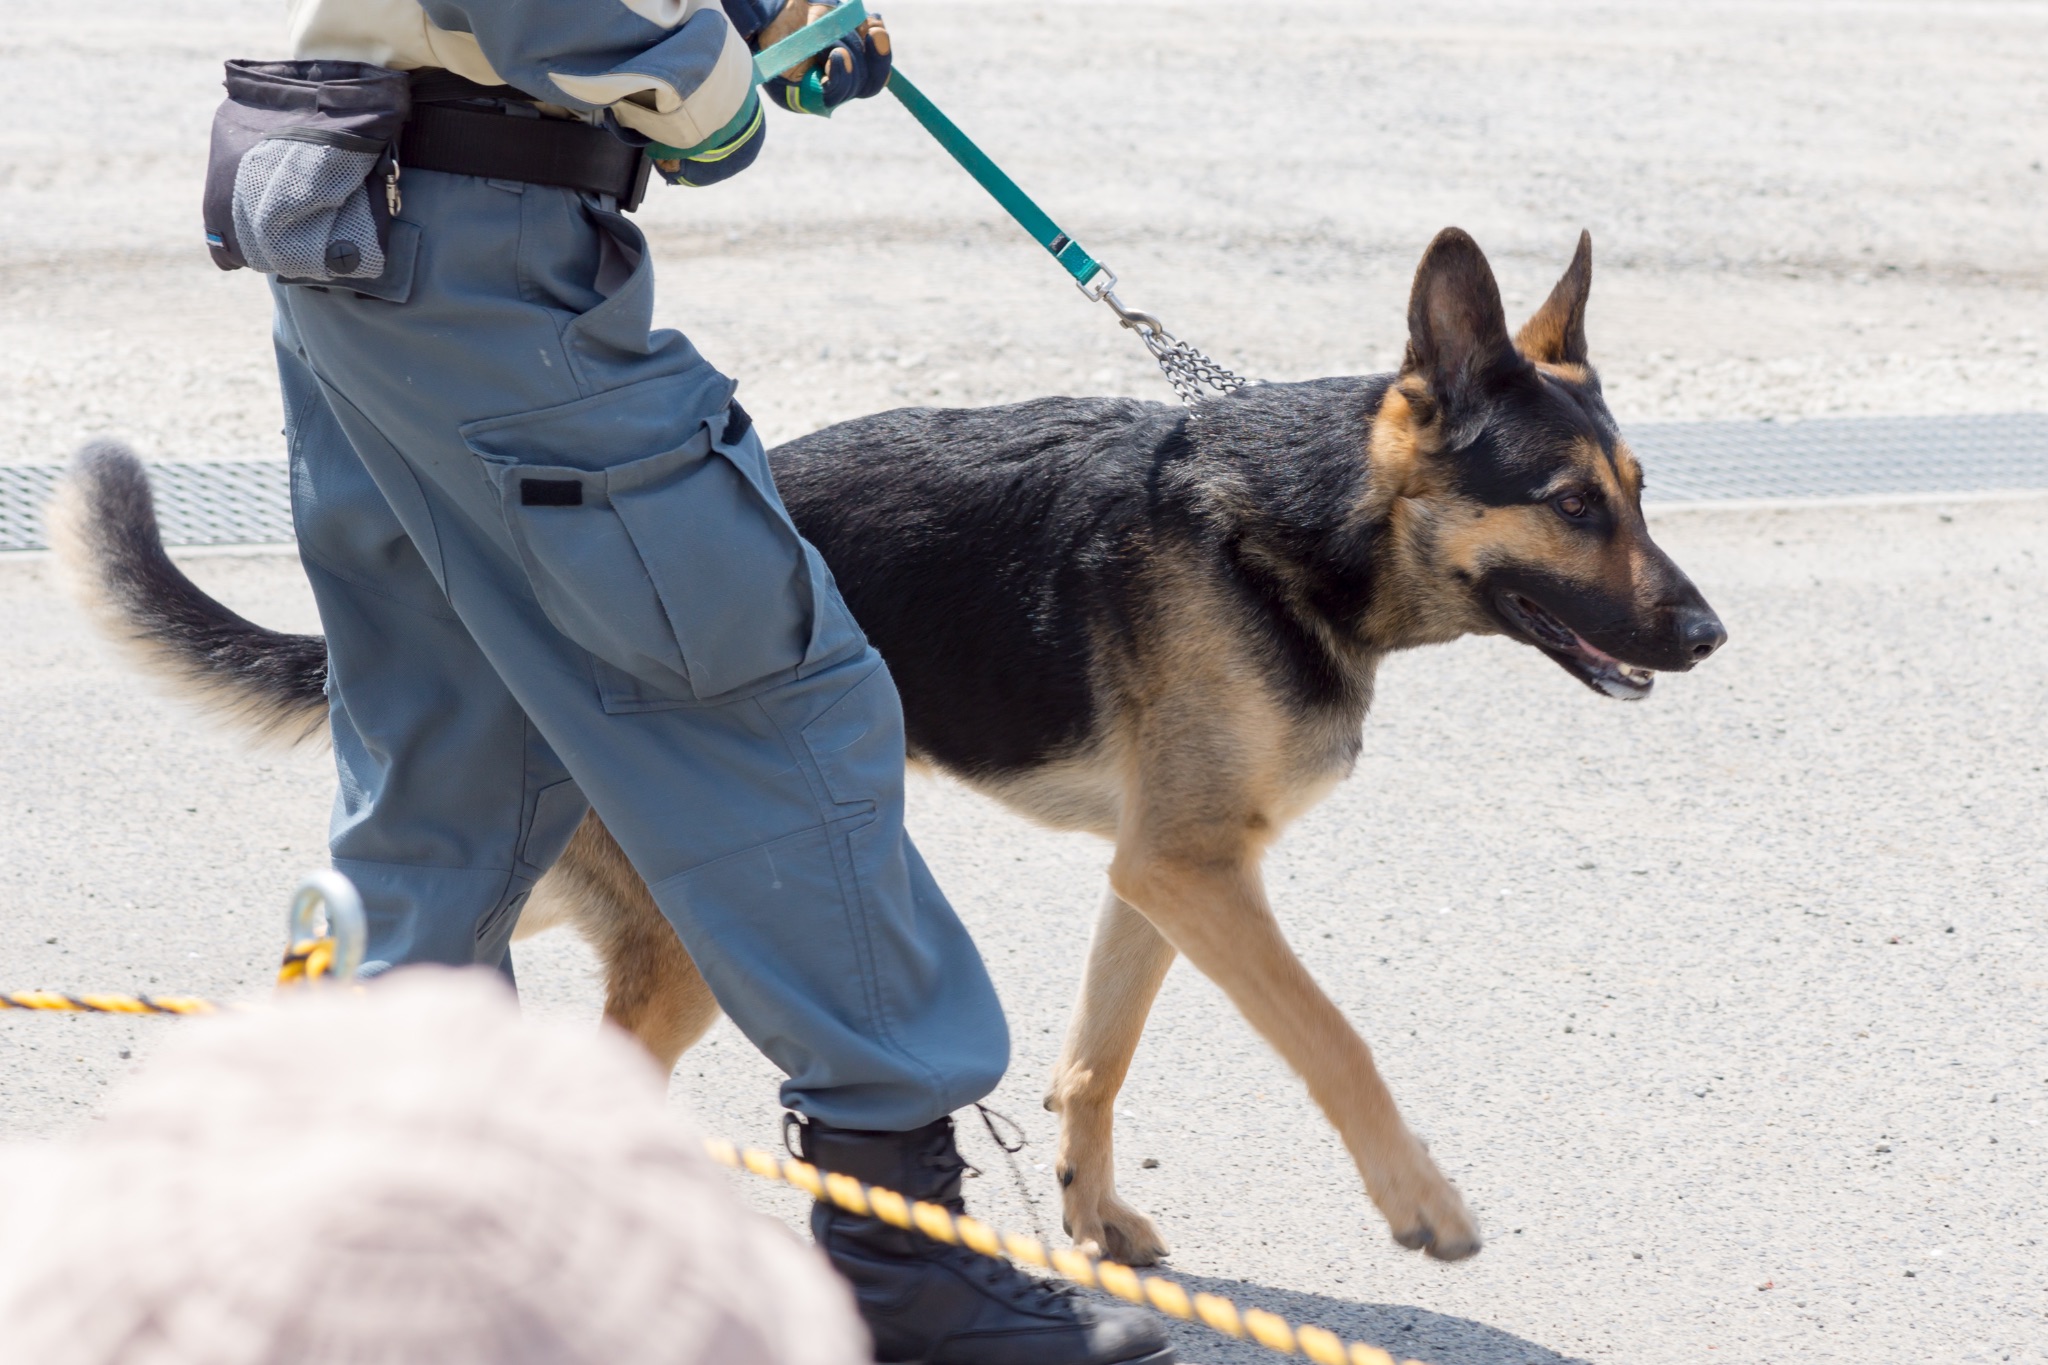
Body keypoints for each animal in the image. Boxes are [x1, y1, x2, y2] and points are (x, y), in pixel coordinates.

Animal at [51, 229, 1728, 1268]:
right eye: (1572, 504)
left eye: (1642, 493)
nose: (1710, 635)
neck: (1295, 524)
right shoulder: (1201, 874)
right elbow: (1336, 1038)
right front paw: (1421, 1203)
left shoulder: (1168, 871)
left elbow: (1093, 1057)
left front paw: (1090, 1220)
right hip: (688, 938)